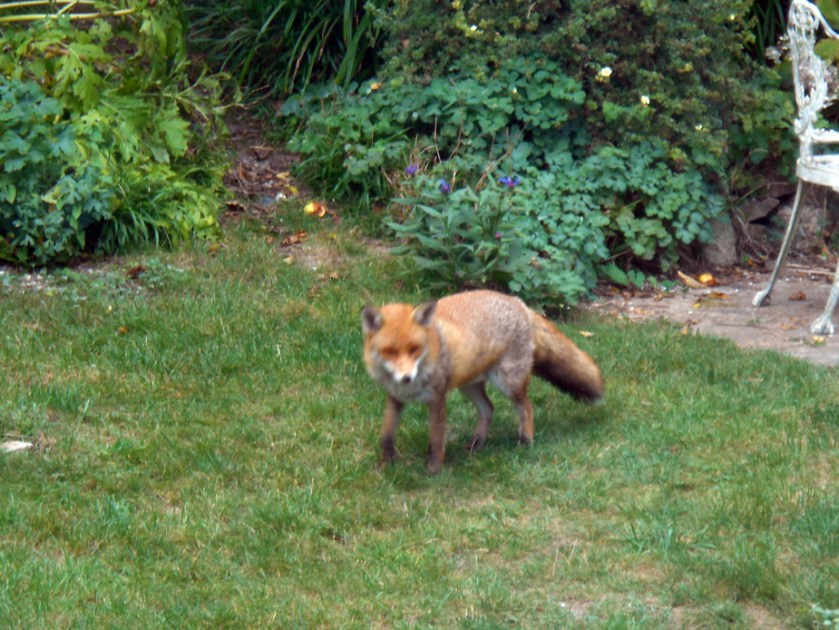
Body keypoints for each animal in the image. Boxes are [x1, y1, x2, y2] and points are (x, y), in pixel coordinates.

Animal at [361, 289, 604, 474]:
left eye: (414, 349)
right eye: (390, 352)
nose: (406, 377)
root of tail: (518, 302)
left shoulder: (437, 398)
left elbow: (437, 439)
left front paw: (433, 470)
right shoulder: (395, 398)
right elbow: (387, 434)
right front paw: (387, 464)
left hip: (508, 382)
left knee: (526, 406)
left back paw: (525, 440)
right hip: (469, 385)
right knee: (489, 408)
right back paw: (477, 443)